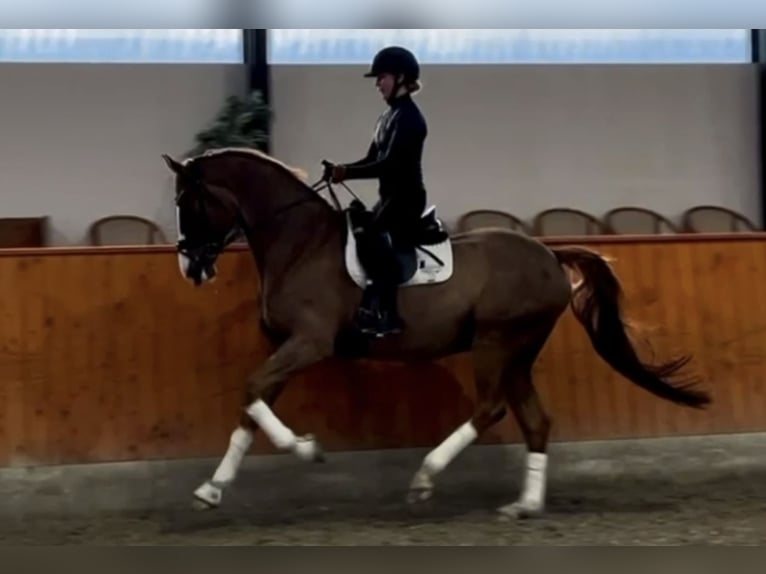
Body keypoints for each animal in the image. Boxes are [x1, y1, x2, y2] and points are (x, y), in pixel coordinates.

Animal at [162, 146, 712, 520]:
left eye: (190, 201)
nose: (191, 267)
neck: (300, 244)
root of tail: (550, 254)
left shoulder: (309, 344)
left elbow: (252, 390)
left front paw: (307, 449)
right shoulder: (285, 347)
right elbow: (251, 407)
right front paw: (213, 489)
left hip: (495, 342)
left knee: (490, 409)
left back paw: (425, 479)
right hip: (518, 351)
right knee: (535, 421)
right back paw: (524, 506)